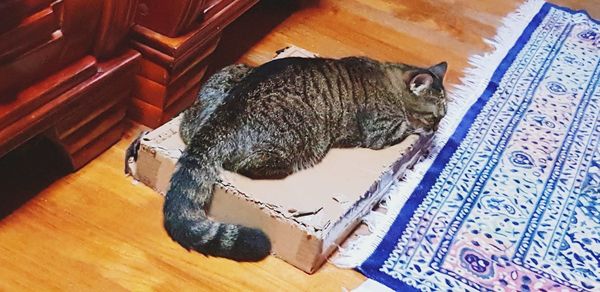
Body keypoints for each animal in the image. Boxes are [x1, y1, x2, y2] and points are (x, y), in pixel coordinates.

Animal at [164, 56, 446, 262]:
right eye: (436, 116)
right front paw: (422, 130)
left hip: (221, 86)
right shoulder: (382, 131)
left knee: (187, 126)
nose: (438, 128)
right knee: (246, 165)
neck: (390, 80)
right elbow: (408, 127)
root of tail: (223, 116)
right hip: (300, 139)